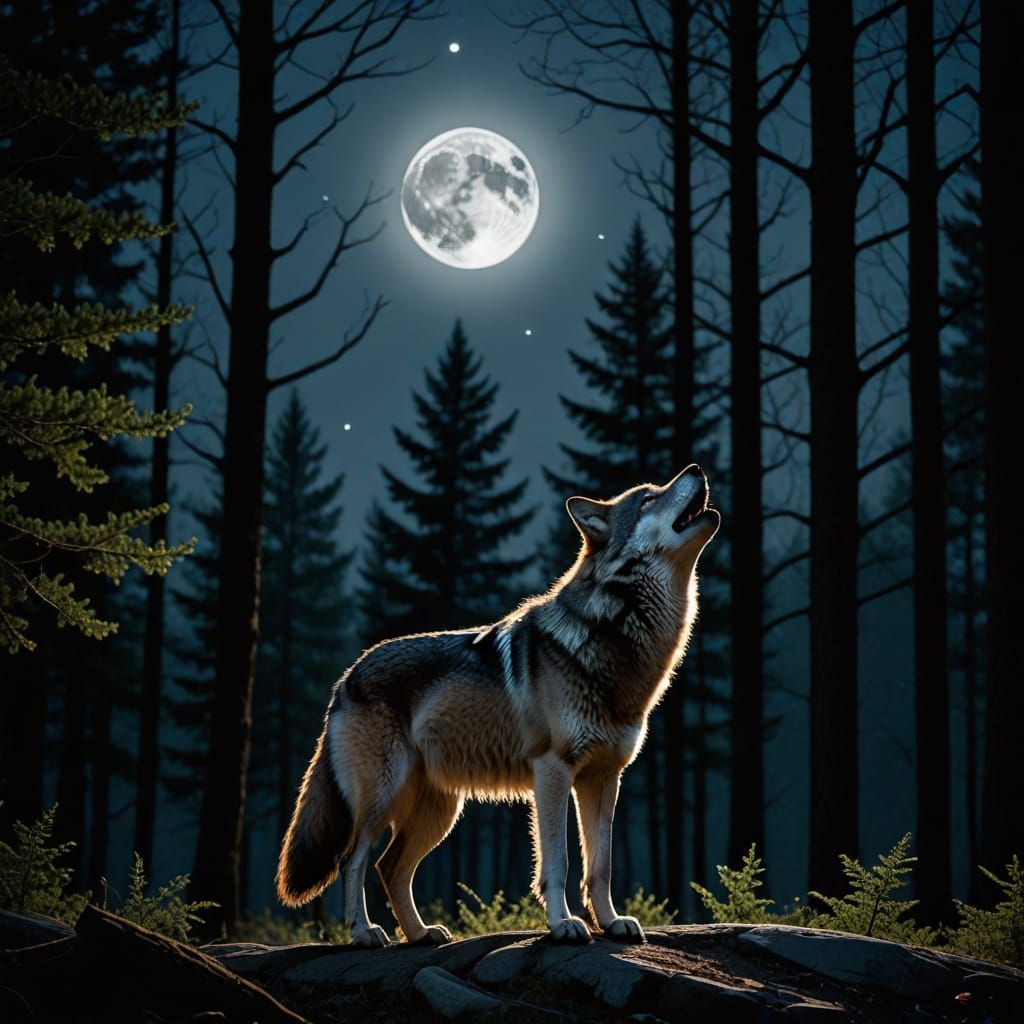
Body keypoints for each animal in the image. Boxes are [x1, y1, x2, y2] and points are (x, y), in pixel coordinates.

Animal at [275, 465, 719, 947]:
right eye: (648, 498)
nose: (696, 469)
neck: (616, 635)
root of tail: (347, 676)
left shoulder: (603, 778)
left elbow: (600, 866)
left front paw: (612, 922)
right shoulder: (553, 770)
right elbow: (559, 863)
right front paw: (564, 925)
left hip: (439, 813)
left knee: (389, 867)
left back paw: (421, 933)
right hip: (383, 799)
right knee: (353, 860)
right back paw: (365, 932)